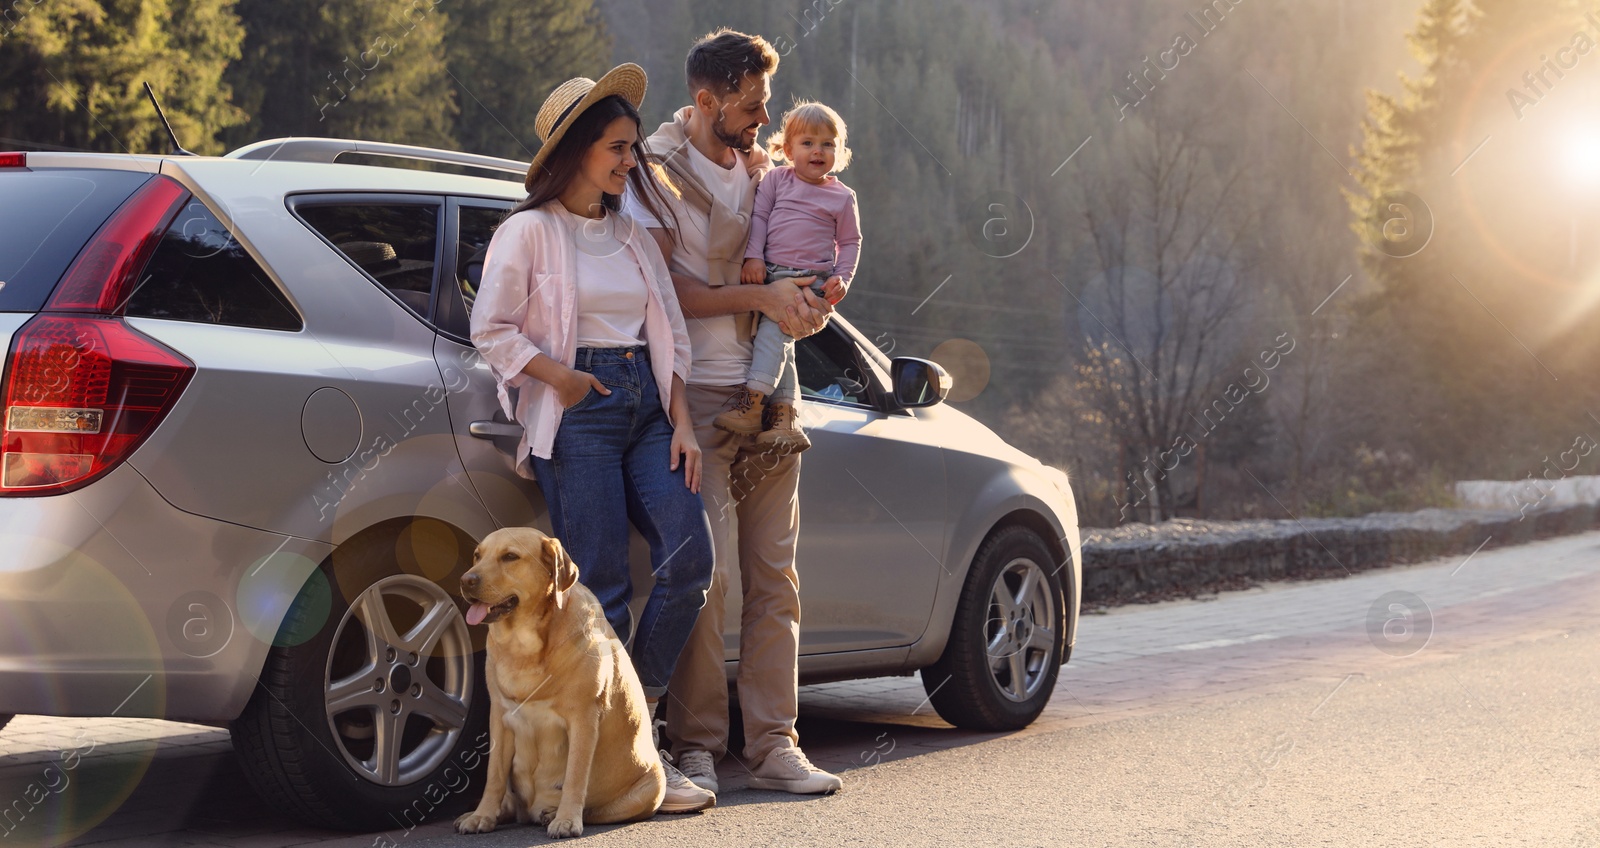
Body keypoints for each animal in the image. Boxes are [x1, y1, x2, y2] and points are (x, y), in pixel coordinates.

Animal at [454, 524, 665, 832]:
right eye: (477, 555)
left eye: (510, 556)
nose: (465, 581)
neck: (524, 647)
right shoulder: (500, 717)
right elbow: (493, 776)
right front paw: (483, 815)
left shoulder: (583, 718)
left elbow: (575, 775)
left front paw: (566, 819)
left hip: (652, 787)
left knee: (596, 809)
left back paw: (552, 813)